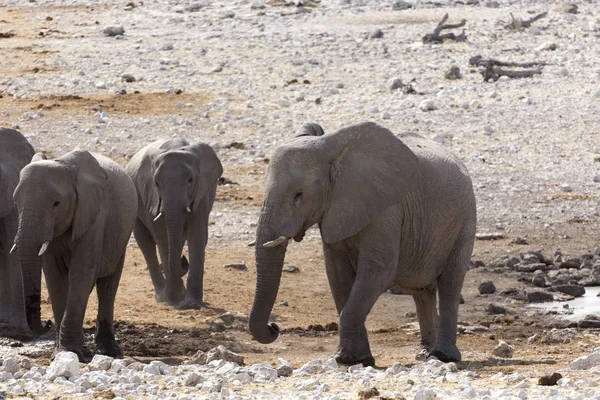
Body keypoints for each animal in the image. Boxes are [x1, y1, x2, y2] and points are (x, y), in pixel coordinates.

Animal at [12, 149, 137, 360]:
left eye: (56, 203)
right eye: (15, 201)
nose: (46, 322)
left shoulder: (94, 213)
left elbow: (81, 273)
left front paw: (69, 351)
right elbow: (55, 278)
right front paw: (60, 353)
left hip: (122, 237)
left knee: (108, 286)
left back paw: (110, 352)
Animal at [125, 138, 223, 310]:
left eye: (190, 180)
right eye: (156, 183)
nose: (184, 261)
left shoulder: (201, 194)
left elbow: (197, 237)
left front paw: (191, 303)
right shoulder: (152, 197)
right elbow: (163, 238)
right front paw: (174, 300)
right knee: (145, 241)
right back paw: (161, 296)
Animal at [246, 121, 476, 366]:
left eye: (298, 195)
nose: (274, 327)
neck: (334, 152)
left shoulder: (386, 210)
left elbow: (378, 272)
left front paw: (351, 360)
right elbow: (337, 275)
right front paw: (351, 359)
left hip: (464, 222)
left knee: (450, 284)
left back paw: (442, 356)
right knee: (422, 291)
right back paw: (424, 353)